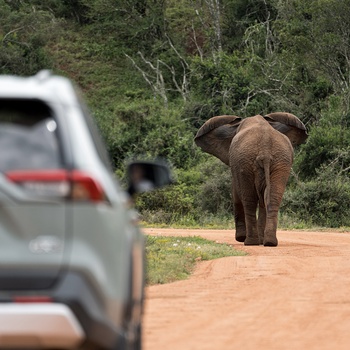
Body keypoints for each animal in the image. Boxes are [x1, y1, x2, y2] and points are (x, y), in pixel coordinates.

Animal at [196, 112, 308, 246]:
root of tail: (265, 148)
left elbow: (236, 193)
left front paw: (241, 238)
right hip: (281, 161)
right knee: (272, 197)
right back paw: (269, 242)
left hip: (245, 161)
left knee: (249, 200)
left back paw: (250, 242)